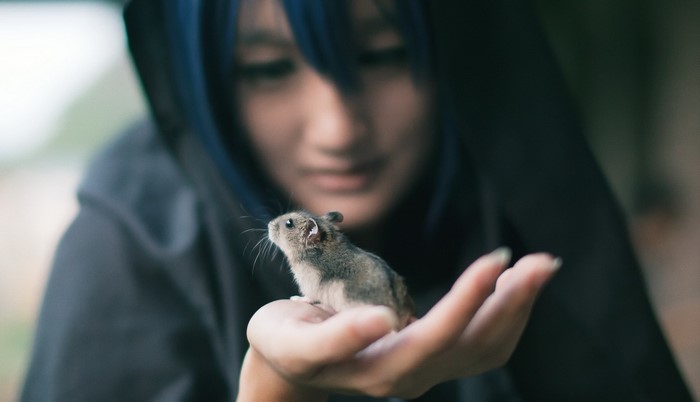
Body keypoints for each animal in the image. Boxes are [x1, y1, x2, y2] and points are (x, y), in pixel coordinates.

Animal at [268, 210, 415, 328]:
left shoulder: (309, 285)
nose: (269, 224)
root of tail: (401, 315)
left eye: (289, 223)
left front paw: (295, 298)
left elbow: (308, 298)